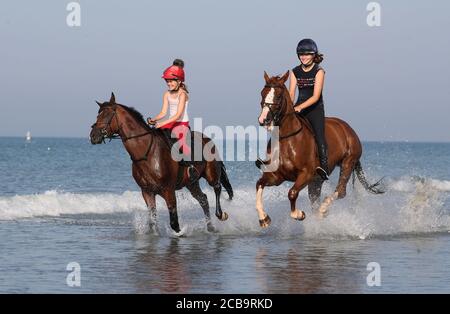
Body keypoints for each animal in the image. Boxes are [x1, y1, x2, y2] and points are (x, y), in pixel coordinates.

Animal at [89, 92, 234, 233]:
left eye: (108, 114)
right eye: (98, 114)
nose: (93, 136)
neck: (147, 153)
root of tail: (208, 139)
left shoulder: (168, 190)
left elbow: (174, 223)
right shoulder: (147, 192)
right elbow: (152, 221)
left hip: (211, 174)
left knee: (217, 188)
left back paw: (221, 215)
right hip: (191, 183)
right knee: (203, 199)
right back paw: (210, 227)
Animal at [256, 72, 384, 227]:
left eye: (279, 96)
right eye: (262, 93)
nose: (264, 120)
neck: (286, 139)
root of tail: (348, 129)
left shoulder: (306, 174)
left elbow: (292, 193)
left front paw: (298, 214)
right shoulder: (276, 176)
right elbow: (259, 184)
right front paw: (264, 218)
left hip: (348, 162)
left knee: (340, 191)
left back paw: (323, 208)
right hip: (317, 180)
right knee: (315, 199)